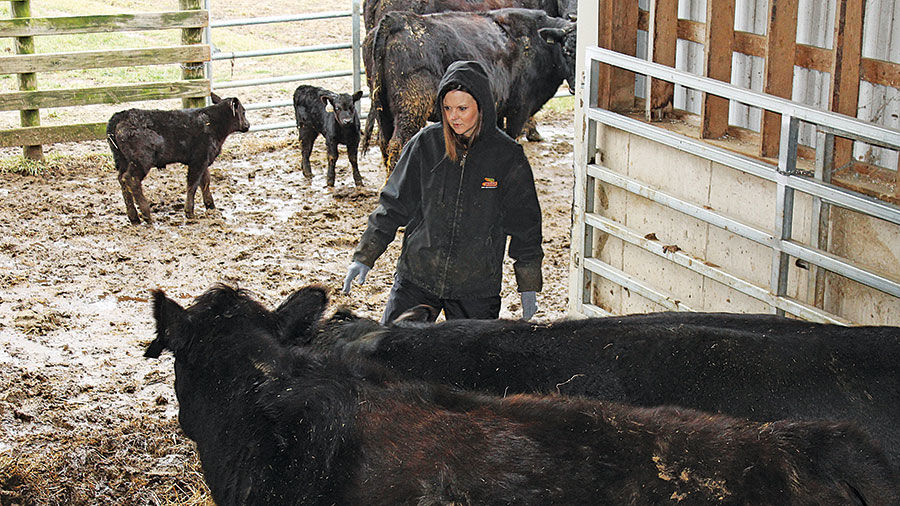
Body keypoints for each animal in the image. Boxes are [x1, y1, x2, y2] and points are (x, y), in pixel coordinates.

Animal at [108, 93, 250, 223]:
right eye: (243, 111)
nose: (248, 125)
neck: (212, 123)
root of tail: (120, 116)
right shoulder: (198, 160)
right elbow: (193, 184)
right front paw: (189, 212)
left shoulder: (203, 159)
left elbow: (205, 182)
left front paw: (211, 207)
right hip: (141, 160)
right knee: (131, 179)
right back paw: (146, 213)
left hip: (123, 160)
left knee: (122, 180)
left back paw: (134, 217)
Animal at [360, 8, 576, 171]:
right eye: (566, 51)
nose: (576, 85)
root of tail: (396, 19)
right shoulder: (519, 108)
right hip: (412, 107)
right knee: (398, 145)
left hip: (382, 108)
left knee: (384, 143)